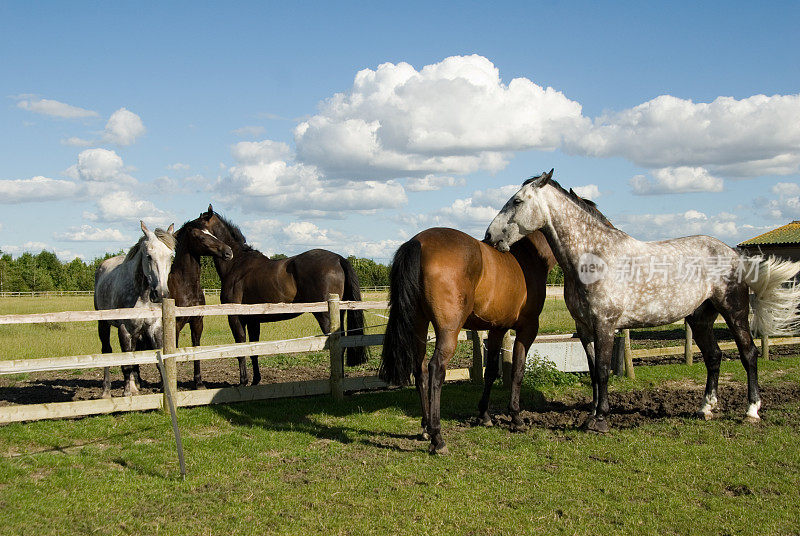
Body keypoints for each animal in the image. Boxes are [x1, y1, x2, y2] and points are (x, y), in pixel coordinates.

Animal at [94, 221, 176, 398]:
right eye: (149, 256)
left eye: (171, 256)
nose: (161, 294)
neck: (143, 295)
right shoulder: (125, 329)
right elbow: (127, 363)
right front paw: (128, 392)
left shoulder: (155, 328)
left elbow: (159, 361)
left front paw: (164, 390)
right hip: (103, 324)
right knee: (107, 351)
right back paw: (106, 391)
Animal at [167, 218, 233, 390]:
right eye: (202, 237)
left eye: (211, 233)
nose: (228, 252)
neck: (185, 287)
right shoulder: (175, 325)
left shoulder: (197, 322)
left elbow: (196, 348)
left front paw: (199, 383)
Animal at [188, 203, 366, 384]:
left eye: (197, 226)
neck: (236, 264)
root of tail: (338, 259)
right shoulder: (253, 320)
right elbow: (253, 350)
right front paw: (255, 380)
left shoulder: (235, 318)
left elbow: (241, 348)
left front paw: (243, 381)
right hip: (340, 314)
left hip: (325, 315)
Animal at [376, 228, 552, 454]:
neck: (528, 257)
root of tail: (418, 242)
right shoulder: (528, 329)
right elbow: (518, 371)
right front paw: (516, 418)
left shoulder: (497, 329)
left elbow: (491, 371)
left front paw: (484, 415)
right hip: (448, 331)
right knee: (436, 369)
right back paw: (438, 438)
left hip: (419, 326)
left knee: (421, 371)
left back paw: (425, 428)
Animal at [484, 170, 800, 434]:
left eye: (516, 201)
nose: (489, 237)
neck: (593, 257)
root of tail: (734, 254)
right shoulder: (585, 328)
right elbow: (593, 371)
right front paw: (591, 415)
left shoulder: (605, 325)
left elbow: (602, 371)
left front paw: (600, 420)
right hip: (700, 319)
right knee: (713, 357)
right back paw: (705, 409)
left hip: (735, 312)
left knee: (749, 354)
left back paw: (751, 411)